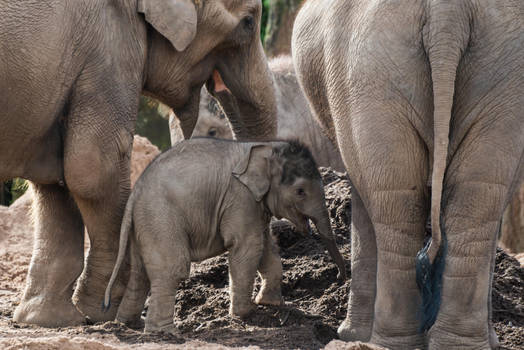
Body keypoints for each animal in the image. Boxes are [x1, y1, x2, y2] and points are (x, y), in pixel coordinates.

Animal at [0, 0, 276, 328]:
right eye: (248, 23)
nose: (264, 301)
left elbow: (56, 178)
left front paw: (49, 319)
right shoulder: (109, 50)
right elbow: (92, 170)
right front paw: (104, 311)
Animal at [292, 0, 520, 350]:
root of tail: (447, 13)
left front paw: (349, 335)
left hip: (367, 70)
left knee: (397, 206)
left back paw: (389, 342)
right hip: (498, 75)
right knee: (474, 199)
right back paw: (452, 343)